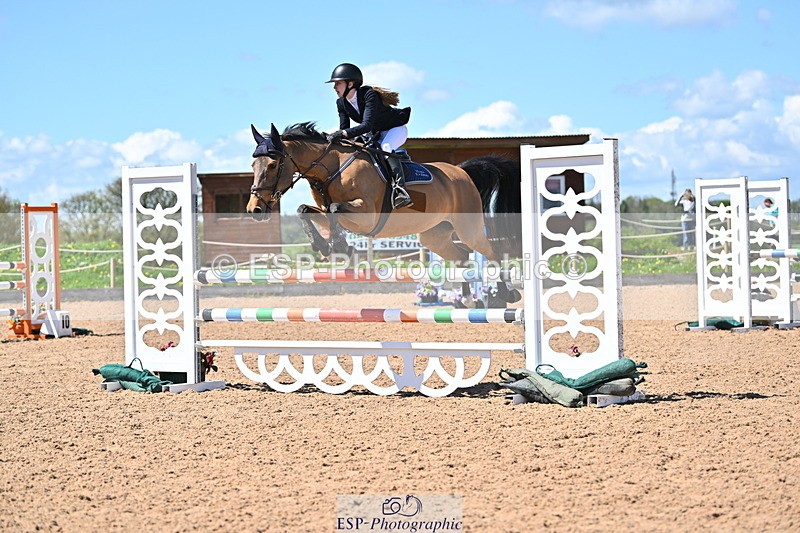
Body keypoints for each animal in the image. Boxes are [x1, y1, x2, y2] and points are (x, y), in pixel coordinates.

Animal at [247, 122, 522, 302]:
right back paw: (464, 299)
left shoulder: (366, 215)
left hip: (468, 229)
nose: (254, 209)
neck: (333, 167)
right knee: (462, 257)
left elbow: (335, 210)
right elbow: (305, 209)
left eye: (272, 165)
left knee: (493, 253)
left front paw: (341, 247)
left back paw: (507, 294)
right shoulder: (327, 211)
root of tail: (462, 171)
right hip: (434, 235)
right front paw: (324, 245)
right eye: (253, 164)